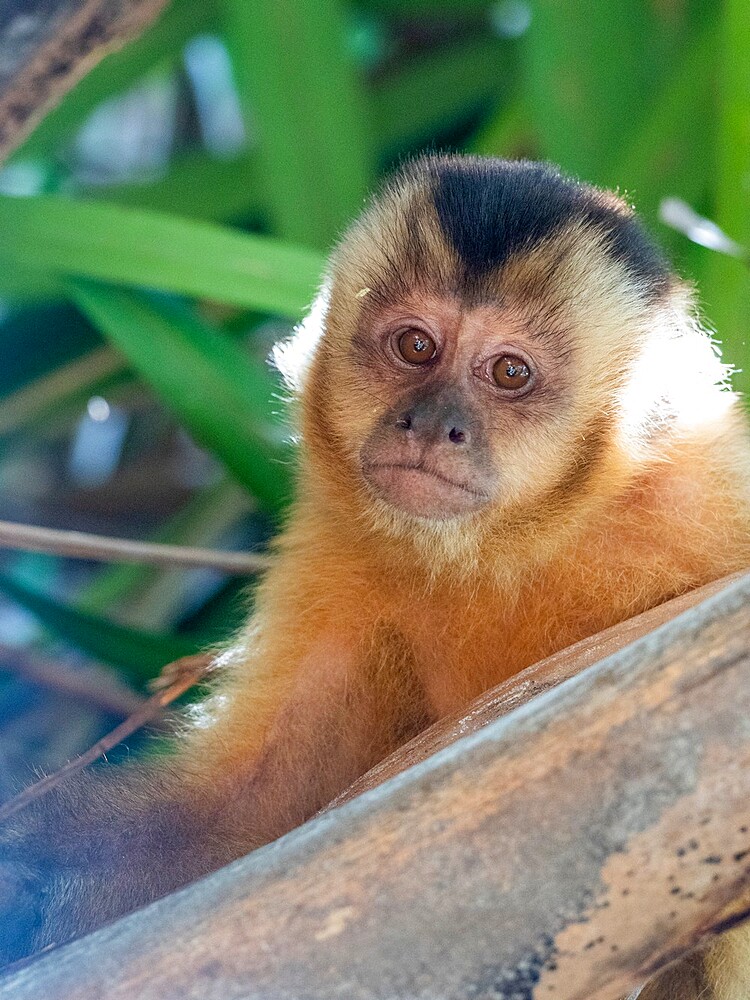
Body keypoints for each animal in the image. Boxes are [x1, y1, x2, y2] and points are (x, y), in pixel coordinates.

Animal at [1, 156, 750, 1000]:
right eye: (416, 345)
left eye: (509, 372)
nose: (430, 424)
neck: (512, 546)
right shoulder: (337, 559)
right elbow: (251, 818)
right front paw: (23, 873)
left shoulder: (707, 496)